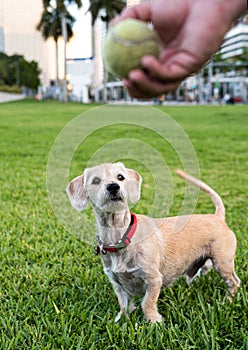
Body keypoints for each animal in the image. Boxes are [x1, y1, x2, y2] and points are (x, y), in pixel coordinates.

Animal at [66, 163, 240, 324]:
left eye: (120, 177)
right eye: (96, 180)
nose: (113, 186)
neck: (120, 236)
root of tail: (217, 217)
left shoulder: (154, 280)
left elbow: (147, 303)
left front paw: (154, 322)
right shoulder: (116, 283)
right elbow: (123, 304)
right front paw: (122, 320)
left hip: (222, 263)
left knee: (233, 282)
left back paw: (227, 301)